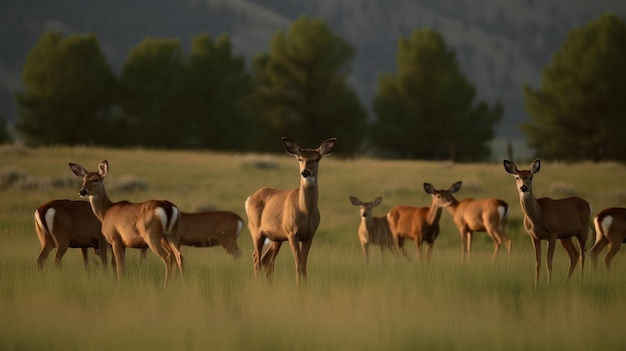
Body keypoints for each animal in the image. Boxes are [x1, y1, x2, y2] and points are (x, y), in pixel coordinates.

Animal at [243, 138, 334, 286]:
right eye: (300, 158)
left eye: (316, 159)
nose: (305, 172)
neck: (306, 211)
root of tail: (249, 198)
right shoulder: (292, 232)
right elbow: (298, 263)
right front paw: (298, 287)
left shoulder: (310, 234)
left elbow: (304, 264)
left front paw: (304, 286)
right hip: (255, 229)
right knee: (256, 258)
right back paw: (257, 285)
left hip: (276, 237)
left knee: (266, 261)